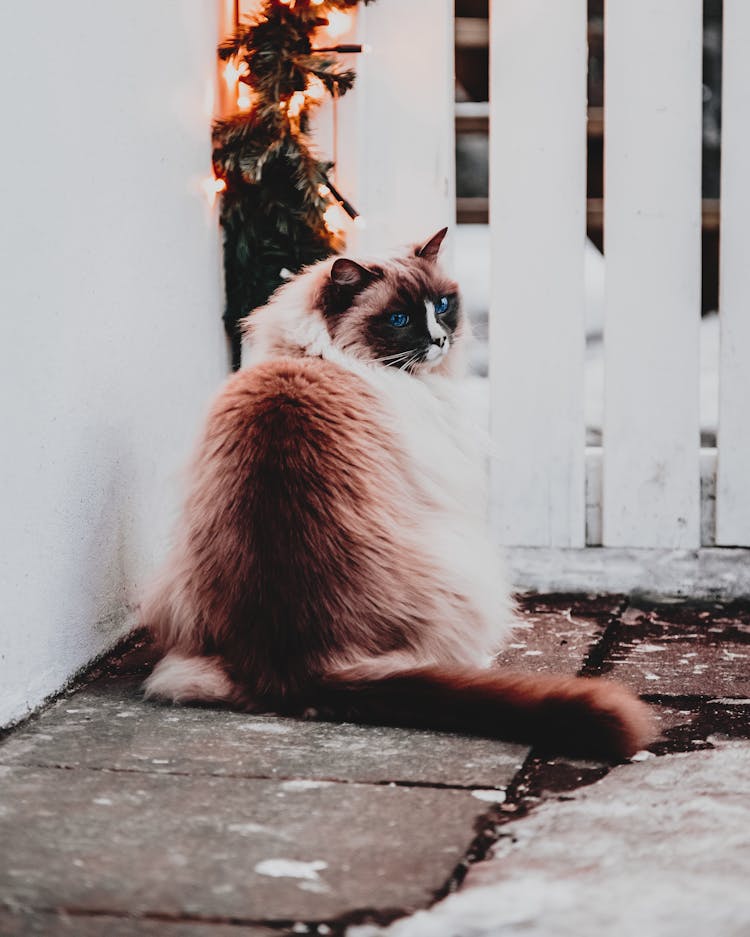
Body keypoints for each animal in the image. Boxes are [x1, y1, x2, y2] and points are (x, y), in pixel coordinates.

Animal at [144, 229, 656, 760]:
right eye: (399, 319)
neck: (316, 357)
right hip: (465, 561)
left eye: (443, 305)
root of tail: (296, 664)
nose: (440, 339)